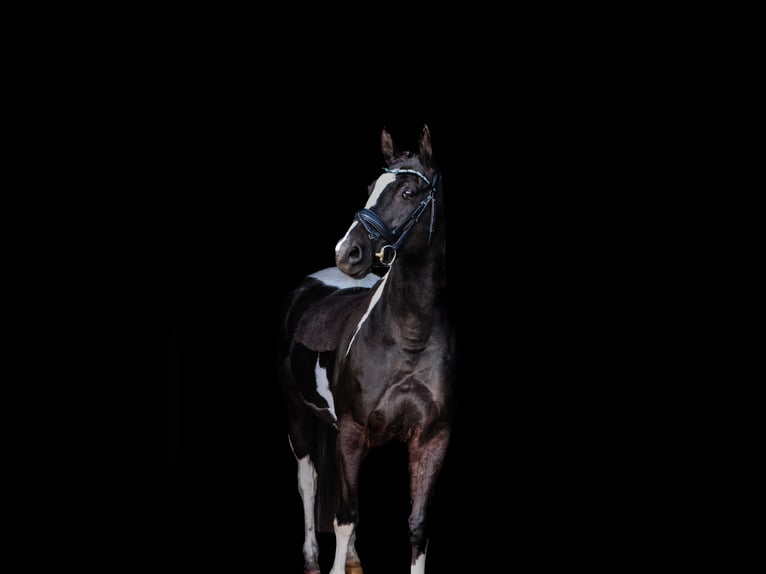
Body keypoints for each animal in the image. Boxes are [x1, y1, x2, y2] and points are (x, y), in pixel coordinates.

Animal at [278, 125, 455, 574]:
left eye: (409, 192)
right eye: (370, 187)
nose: (347, 252)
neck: (409, 338)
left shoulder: (432, 438)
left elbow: (417, 525)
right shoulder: (353, 429)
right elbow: (344, 517)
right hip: (299, 417)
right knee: (308, 482)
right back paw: (311, 558)